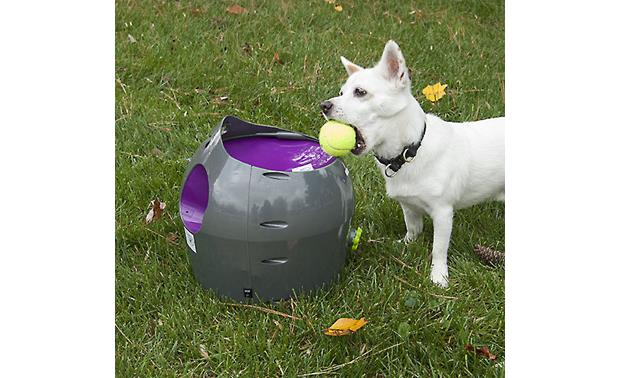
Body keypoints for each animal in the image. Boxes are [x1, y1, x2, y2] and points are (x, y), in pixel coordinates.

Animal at [320, 40, 504, 286]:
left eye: (360, 92)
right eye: (341, 93)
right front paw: (405, 246)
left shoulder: (443, 213)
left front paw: (439, 277)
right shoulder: (408, 206)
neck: (410, 152)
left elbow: (439, 248)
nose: (324, 105)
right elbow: (413, 229)